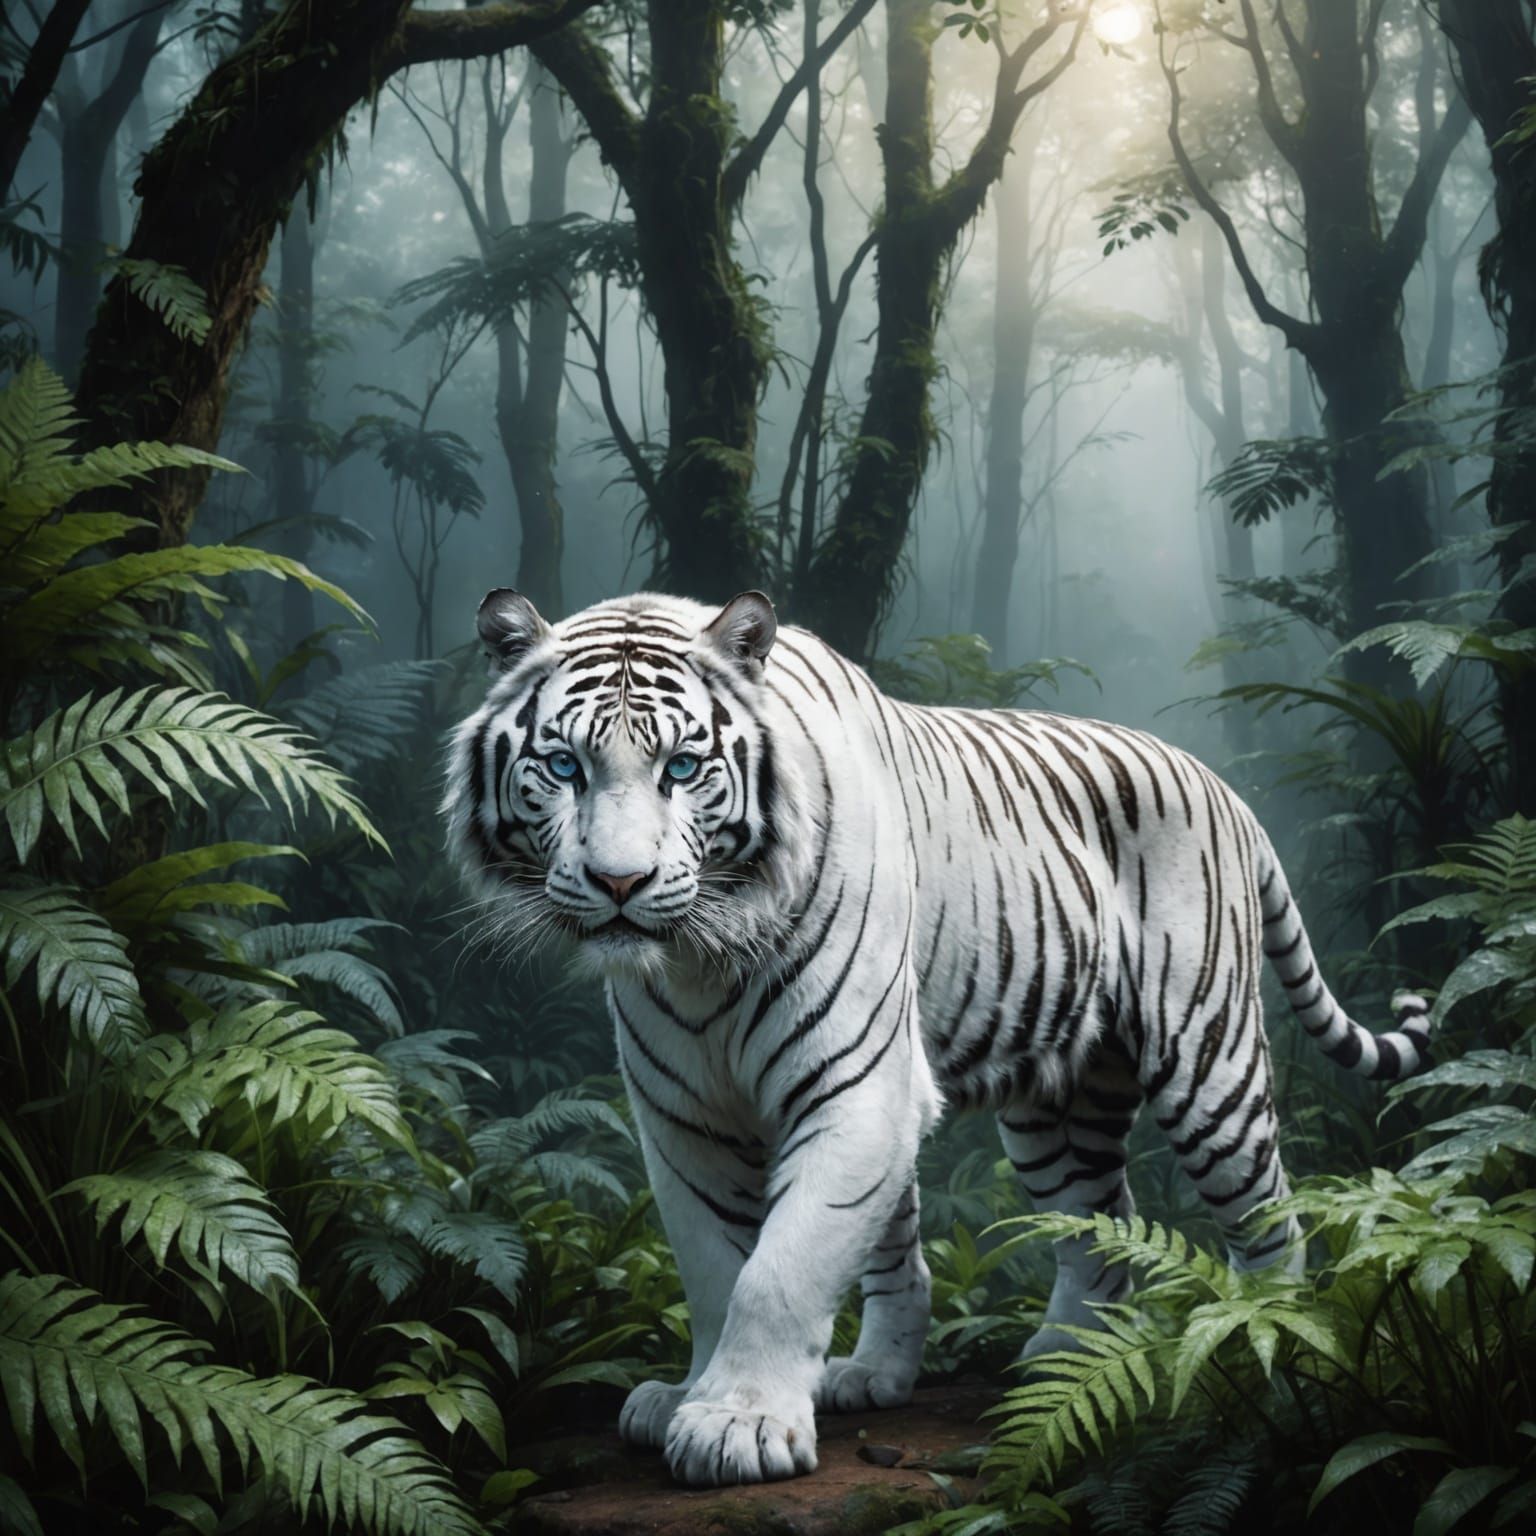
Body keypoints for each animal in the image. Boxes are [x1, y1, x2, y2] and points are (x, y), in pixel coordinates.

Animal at [443, 587, 1431, 1489]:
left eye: (683, 768)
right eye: (563, 765)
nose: (621, 883)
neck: (702, 957)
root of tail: (1222, 785)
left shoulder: (856, 1089)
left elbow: (781, 1267)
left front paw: (737, 1426)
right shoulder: (686, 1119)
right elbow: (716, 1266)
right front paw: (691, 1398)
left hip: (1207, 1066)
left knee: (1269, 1216)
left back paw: (1268, 1347)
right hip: (1051, 1107)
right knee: (1099, 1222)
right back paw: (1033, 1365)